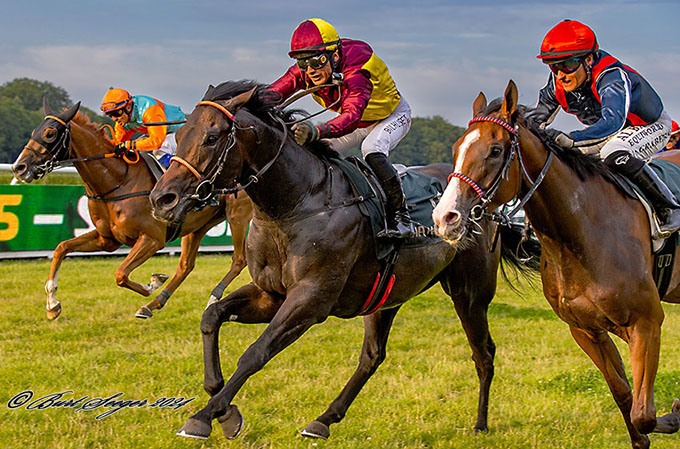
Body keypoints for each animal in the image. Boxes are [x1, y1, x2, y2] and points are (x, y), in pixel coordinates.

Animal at [11, 100, 252, 320]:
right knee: (186, 265)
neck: (117, 182)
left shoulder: (152, 239)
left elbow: (120, 274)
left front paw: (151, 283)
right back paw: (154, 304)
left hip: (237, 215)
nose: (18, 167)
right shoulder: (107, 240)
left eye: (50, 133)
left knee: (239, 259)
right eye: (34, 132)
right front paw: (52, 304)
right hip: (199, 224)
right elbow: (61, 248)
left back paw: (213, 297)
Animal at [432, 79, 680, 446]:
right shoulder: (586, 330)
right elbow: (625, 398)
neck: (583, 233)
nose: (444, 217)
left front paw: (675, 412)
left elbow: (644, 413)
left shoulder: (646, 322)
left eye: (495, 151)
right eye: (456, 149)